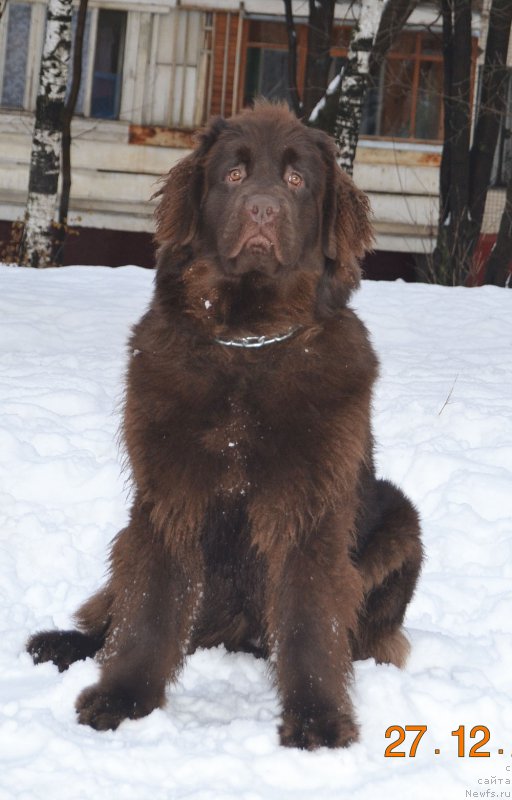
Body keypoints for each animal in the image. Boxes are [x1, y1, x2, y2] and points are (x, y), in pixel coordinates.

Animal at [26, 101, 422, 752]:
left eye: (296, 180)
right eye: (234, 175)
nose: (262, 208)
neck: (248, 341)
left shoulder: (311, 506)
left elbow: (312, 618)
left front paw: (318, 719)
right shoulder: (167, 496)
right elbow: (148, 606)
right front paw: (122, 699)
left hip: (400, 518)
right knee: (113, 610)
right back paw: (65, 644)